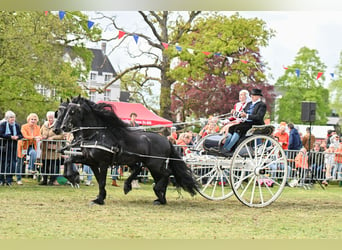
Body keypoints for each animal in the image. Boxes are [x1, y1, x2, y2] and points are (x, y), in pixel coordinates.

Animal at [53, 96, 198, 205]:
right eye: (60, 112)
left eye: (72, 111)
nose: (61, 128)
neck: (97, 134)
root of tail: (167, 140)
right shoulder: (90, 161)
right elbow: (70, 161)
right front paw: (74, 178)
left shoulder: (103, 162)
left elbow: (102, 181)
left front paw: (99, 199)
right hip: (147, 164)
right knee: (155, 175)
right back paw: (157, 197)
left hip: (154, 164)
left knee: (166, 174)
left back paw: (157, 193)